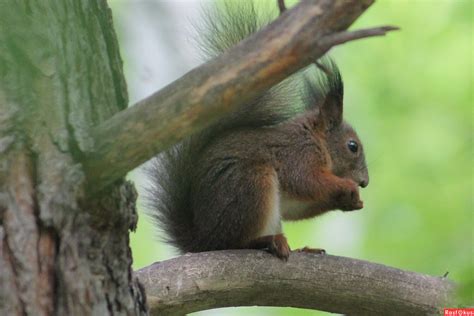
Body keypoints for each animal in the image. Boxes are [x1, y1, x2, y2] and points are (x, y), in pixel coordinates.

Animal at [146, 1, 368, 260]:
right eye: (352, 146)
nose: (365, 182)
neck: (315, 139)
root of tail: (204, 241)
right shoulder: (298, 155)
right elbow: (306, 181)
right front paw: (347, 187)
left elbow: (296, 206)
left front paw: (350, 202)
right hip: (251, 183)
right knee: (237, 242)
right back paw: (268, 241)